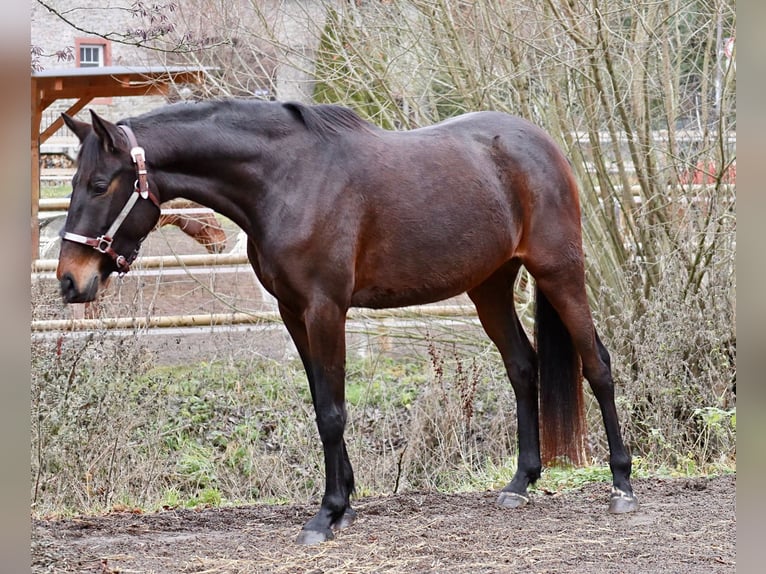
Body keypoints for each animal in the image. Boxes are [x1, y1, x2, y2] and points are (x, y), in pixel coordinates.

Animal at [56, 99, 639, 544]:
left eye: (101, 184)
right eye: (75, 182)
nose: (69, 280)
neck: (288, 180)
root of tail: (542, 144)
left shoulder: (324, 308)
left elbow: (333, 412)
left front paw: (327, 514)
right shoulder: (294, 313)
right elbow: (322, 404)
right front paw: (345, 505)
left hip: (560, 270)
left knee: (598, 365)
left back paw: (622, 486)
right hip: (490, 286)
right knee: (522, 366)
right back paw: (520, 483)